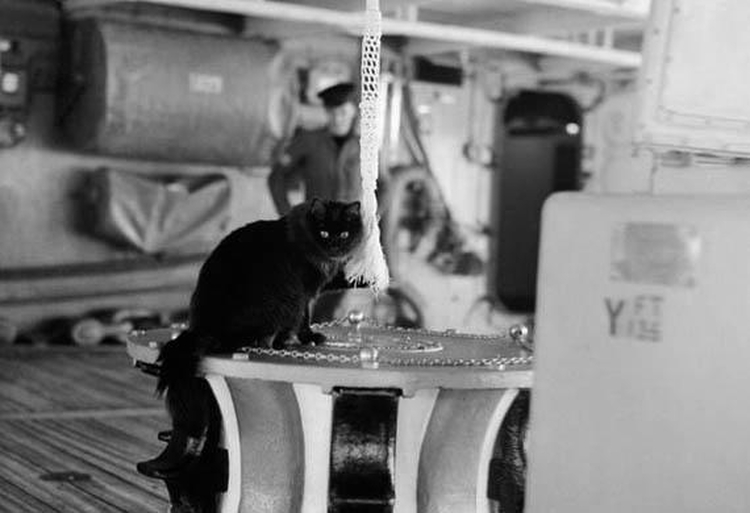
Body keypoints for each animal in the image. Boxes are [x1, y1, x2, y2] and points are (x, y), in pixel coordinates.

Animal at [141, 198, 368, 478]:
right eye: (324, 233)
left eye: (344, 234)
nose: (335, 245)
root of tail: (202, 328)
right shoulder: (302, 294)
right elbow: (302, 320)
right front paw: (306, 338)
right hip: (278, 305)